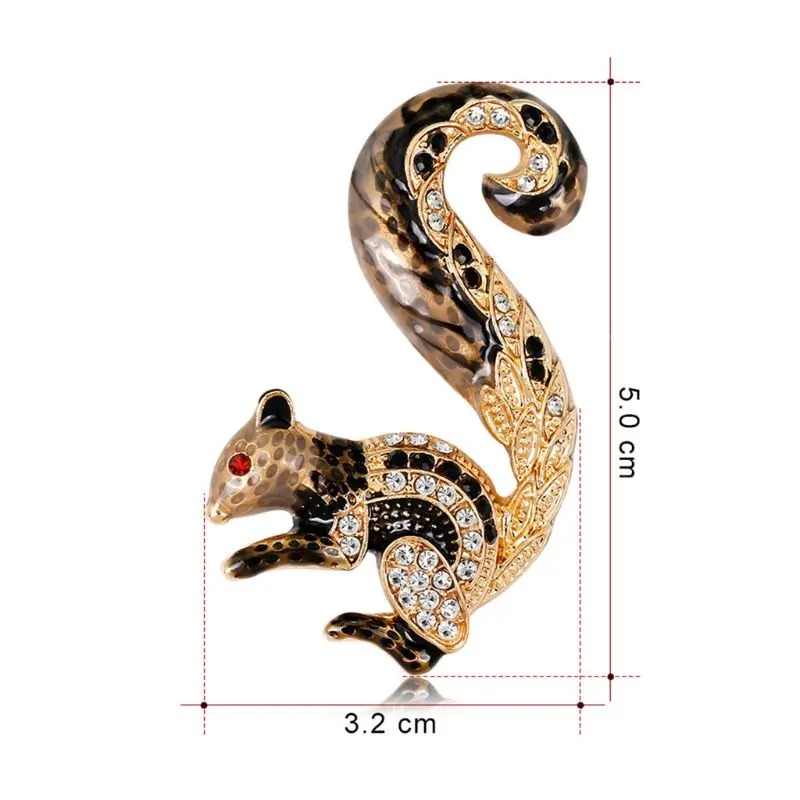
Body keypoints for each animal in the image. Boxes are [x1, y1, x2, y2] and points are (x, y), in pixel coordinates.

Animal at [207, 83, 586, 673]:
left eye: (240, 463)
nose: (213, 513)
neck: (318, 466)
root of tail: (505, 550)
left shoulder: (345, 535)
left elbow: (309, 551)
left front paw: (240, 561)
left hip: (411, 559)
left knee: (438, 647)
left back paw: (363, 629)